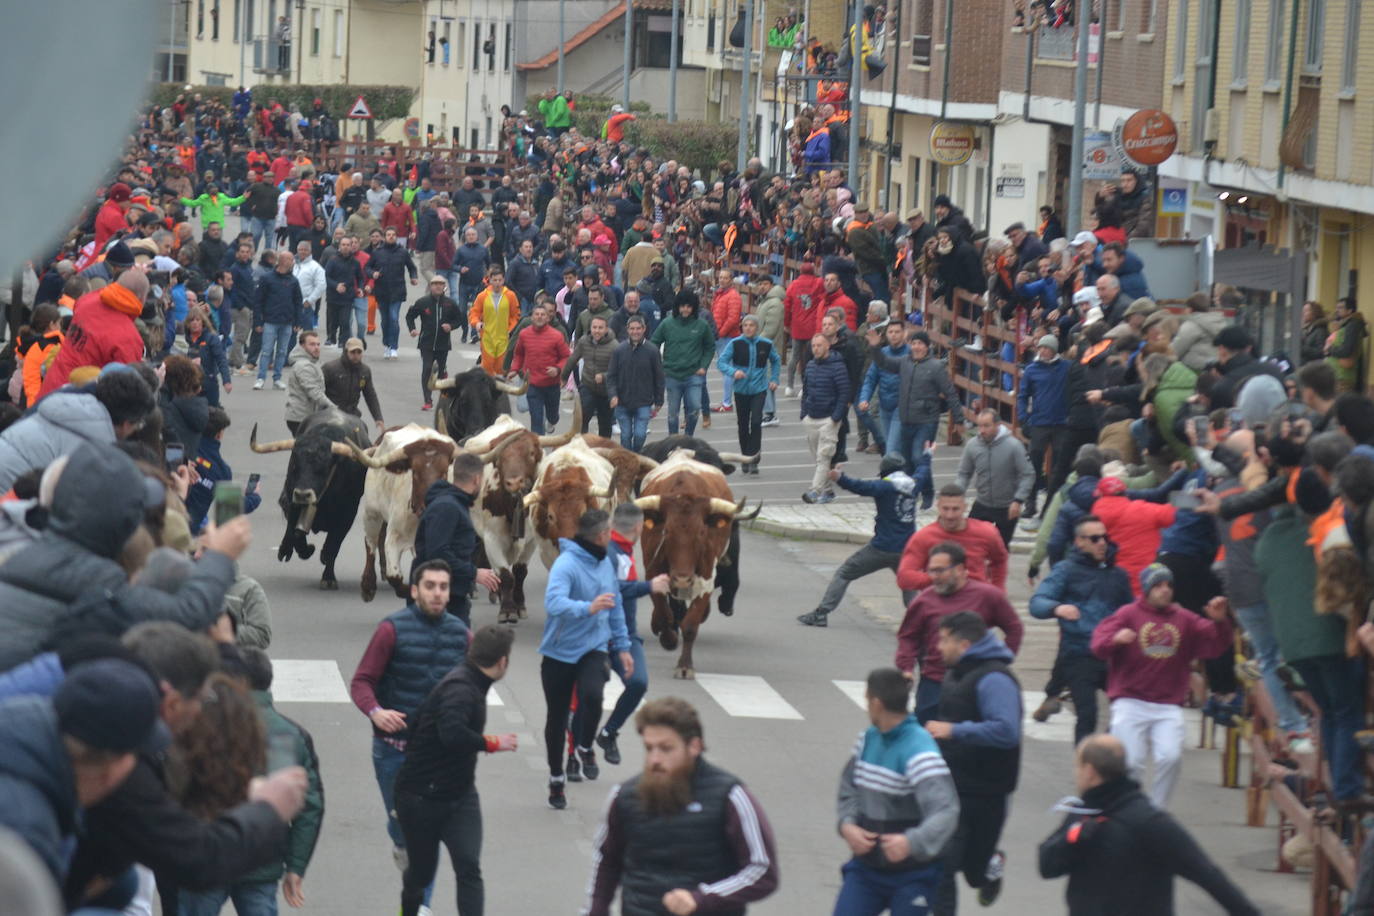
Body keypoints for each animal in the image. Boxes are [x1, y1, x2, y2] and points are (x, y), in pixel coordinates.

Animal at [251, 406, 370, 587]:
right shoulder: (292, 501)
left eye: (324, 468)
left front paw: (328, 577)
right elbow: (295, 534)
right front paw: (303, 549)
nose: (302, 494)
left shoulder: (348, 514)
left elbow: (333, 546)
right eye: (295, 465)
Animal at [348, 428, 461, 604]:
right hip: (371, 512)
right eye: (415, 472)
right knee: (371, 544)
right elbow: (394, 576)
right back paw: (368, 586)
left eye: (444, 473)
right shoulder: (394, 536)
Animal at [634, 453, 747, 681]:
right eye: (667, 531)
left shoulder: (706, 577)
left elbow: (690, 625)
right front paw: (667, 638)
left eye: (702, 533)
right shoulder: (653, 570)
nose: (682, 578)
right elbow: (664, 613)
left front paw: (685, 666)